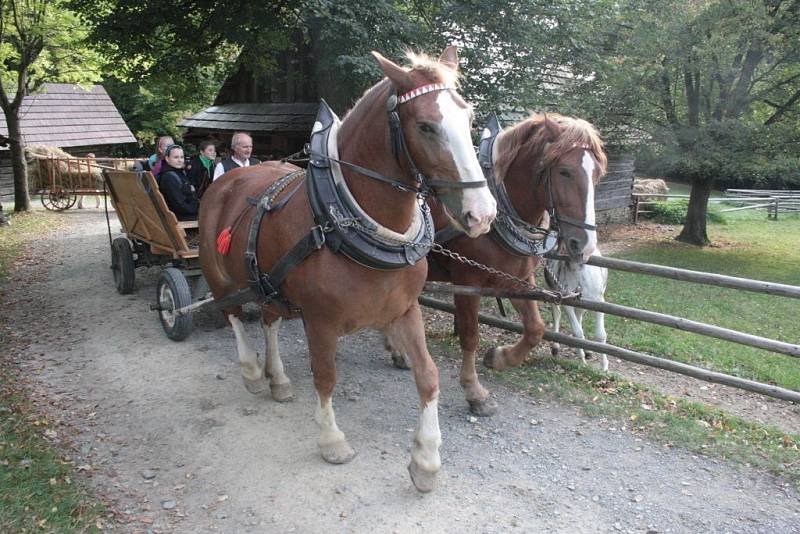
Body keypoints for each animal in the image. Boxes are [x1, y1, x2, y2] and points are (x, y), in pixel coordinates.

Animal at [198, 47, 494, 494]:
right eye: (425, 126)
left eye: (469, 117)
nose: (482, 213)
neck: (344, 219)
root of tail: (230, 176)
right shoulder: (320, 320)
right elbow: (325, 377)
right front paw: (332, 440)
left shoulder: (405, 310)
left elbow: (428, 376)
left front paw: (425, 459)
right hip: (221, 278)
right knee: (233, 316)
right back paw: (252, 371)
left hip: (268, 283)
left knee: (268, 321)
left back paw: (277, 379)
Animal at [390, 113, 608, 418]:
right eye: (564, 171)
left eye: (598, 174)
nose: (585, 245)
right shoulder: (467, 282)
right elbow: (470, 336)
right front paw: (474, 392)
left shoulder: (517, 279)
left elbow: (535, 329)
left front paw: (499, 357)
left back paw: (397, 352)